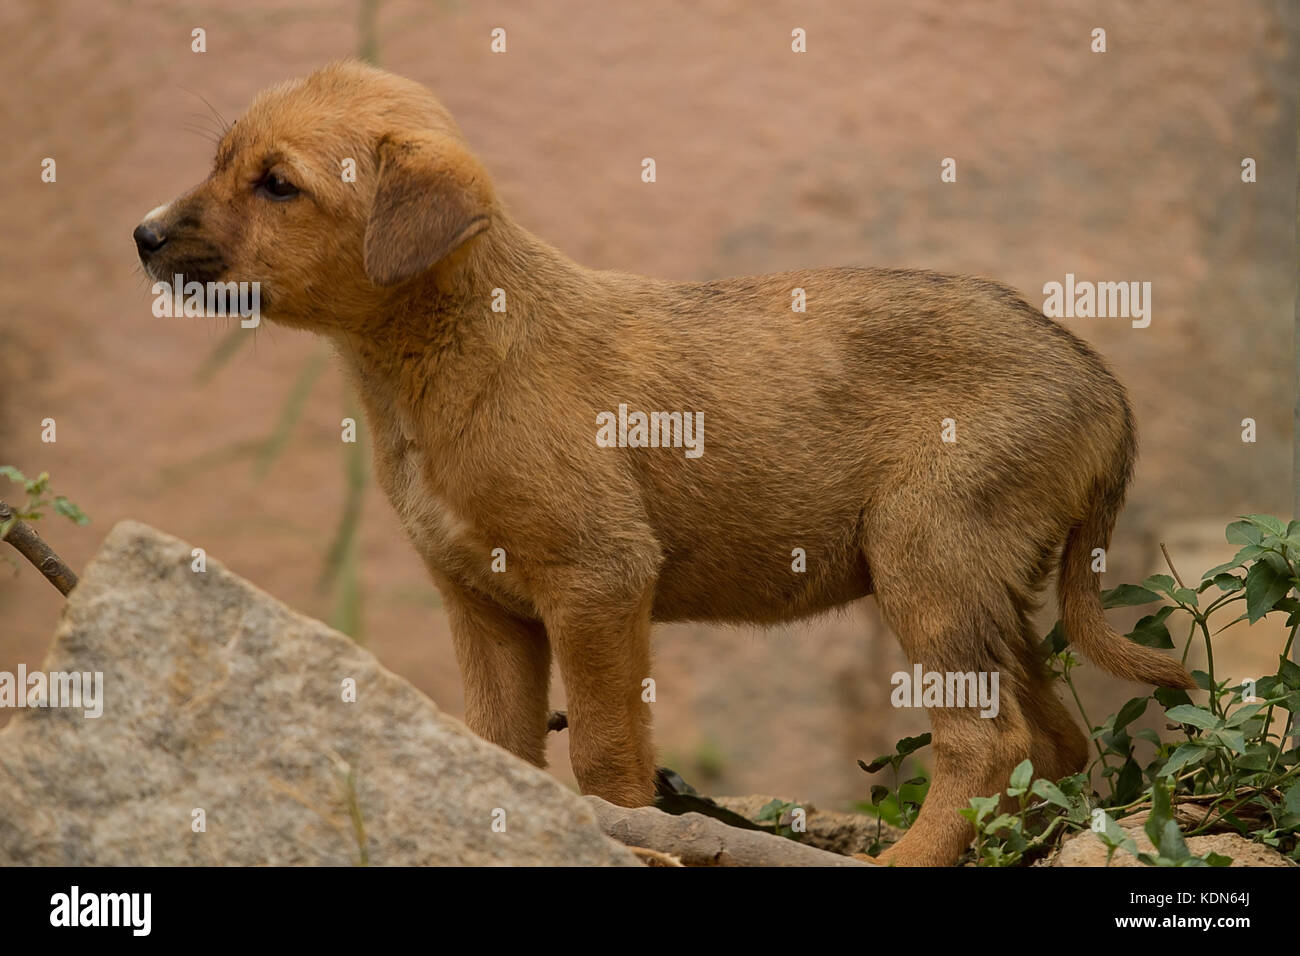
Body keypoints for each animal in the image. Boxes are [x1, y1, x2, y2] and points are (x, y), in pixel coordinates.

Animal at [137, 59, 1190, 868]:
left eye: (278, 184)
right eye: (221, 161)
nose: (142, 237)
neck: (456, 347)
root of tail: (1099, 385)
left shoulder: (599, 583)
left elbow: (607, 761)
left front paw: (635, 840)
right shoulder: (483, 605)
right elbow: (498, 753)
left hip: (927, 567)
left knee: (988, 742)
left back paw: (908, 858)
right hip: (985, 596)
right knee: (1052, 743)